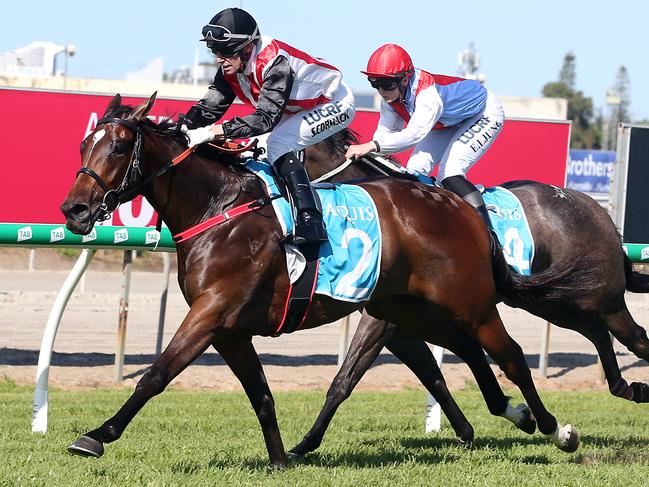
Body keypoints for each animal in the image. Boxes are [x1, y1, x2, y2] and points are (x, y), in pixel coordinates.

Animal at [59, 95, 576, 468]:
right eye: (84, 146)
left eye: (119, 146)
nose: (75, 209)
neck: (217, 207)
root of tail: (463, 205)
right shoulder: (230, 330)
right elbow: (261, 393)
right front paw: (280, 459)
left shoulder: (211, 312)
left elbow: (157, 374)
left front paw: (96, 436)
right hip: (409, 309)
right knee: (468, 349)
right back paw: (515, 414)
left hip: (469, 302)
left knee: (510, 355)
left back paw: (558, 429)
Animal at [288, 129, 648, 458]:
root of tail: (596, 210)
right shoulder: (400, 321)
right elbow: (426, 374)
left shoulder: (389, 320)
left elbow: (352, 378)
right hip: (554, 303)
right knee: (598, 334)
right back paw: (627, 387)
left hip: (602, 298)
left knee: (635, 338)